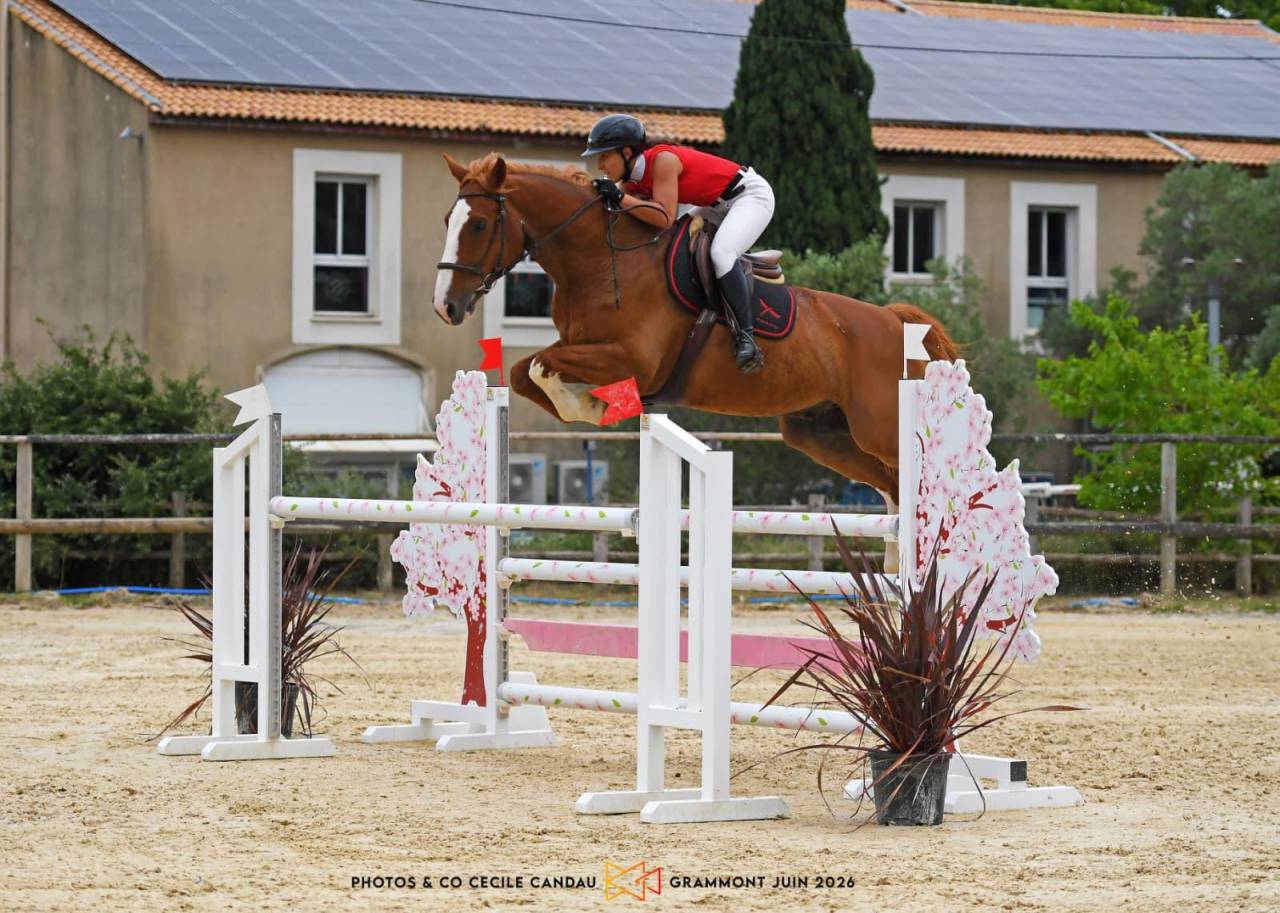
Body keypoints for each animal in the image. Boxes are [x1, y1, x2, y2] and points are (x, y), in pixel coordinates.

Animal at [432, 153, 958, 569]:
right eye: (447, 220)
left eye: (478, 224)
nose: (446, 307)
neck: (601, 261)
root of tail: (891, 319)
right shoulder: (582, 349)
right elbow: (525, 372)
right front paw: (592, 405)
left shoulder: (633, 360)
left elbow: (541, 365)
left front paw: (595, 404)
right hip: (822, 433)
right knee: (891, 484)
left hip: (877, 425)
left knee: (914, 475)